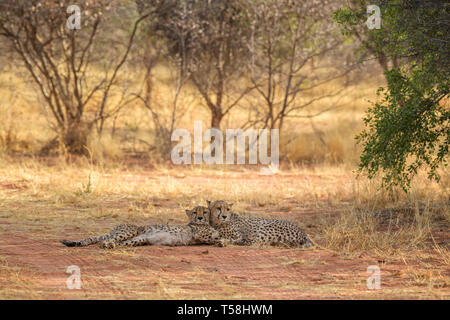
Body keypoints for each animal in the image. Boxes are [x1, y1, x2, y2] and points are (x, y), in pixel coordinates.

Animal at [59, 206, 221, 249]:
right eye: (195, 212)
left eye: (204, 212)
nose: (200, 217)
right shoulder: (200, 235)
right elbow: (216, 235)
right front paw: (221, 240)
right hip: (129, 231)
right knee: (104, 241)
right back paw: (107, 244)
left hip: (138, 240)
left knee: (120, 243)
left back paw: (112, 245)